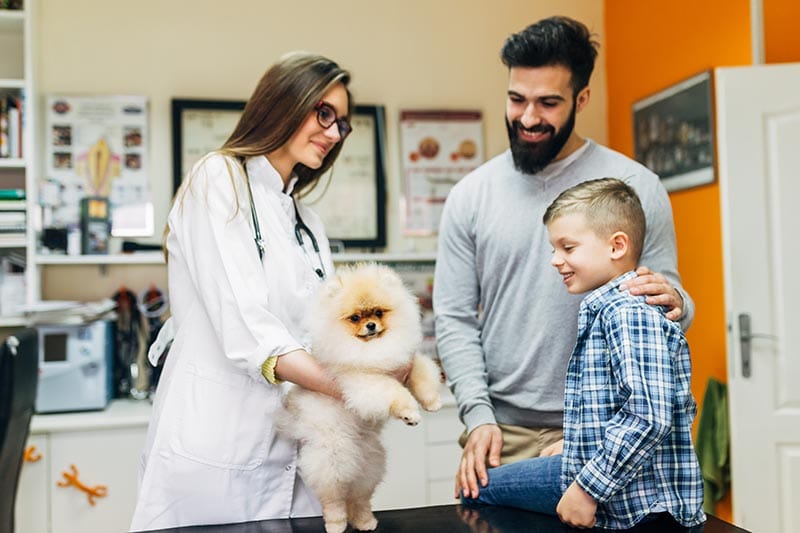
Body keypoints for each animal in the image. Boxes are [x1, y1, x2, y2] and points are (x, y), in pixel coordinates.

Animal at [276, 262, 440, 532]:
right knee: (333, 498)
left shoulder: (406, 363)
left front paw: (432, 402)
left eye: (378, 312)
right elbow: (394, 391)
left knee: (359, 497)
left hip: (369, 464)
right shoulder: (363, 381)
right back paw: (336, 523)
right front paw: (409, 413)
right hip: (331, 460)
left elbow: (423, 375)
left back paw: (365, 521)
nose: (371, 326)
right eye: (355, 318)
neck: (373, 350)